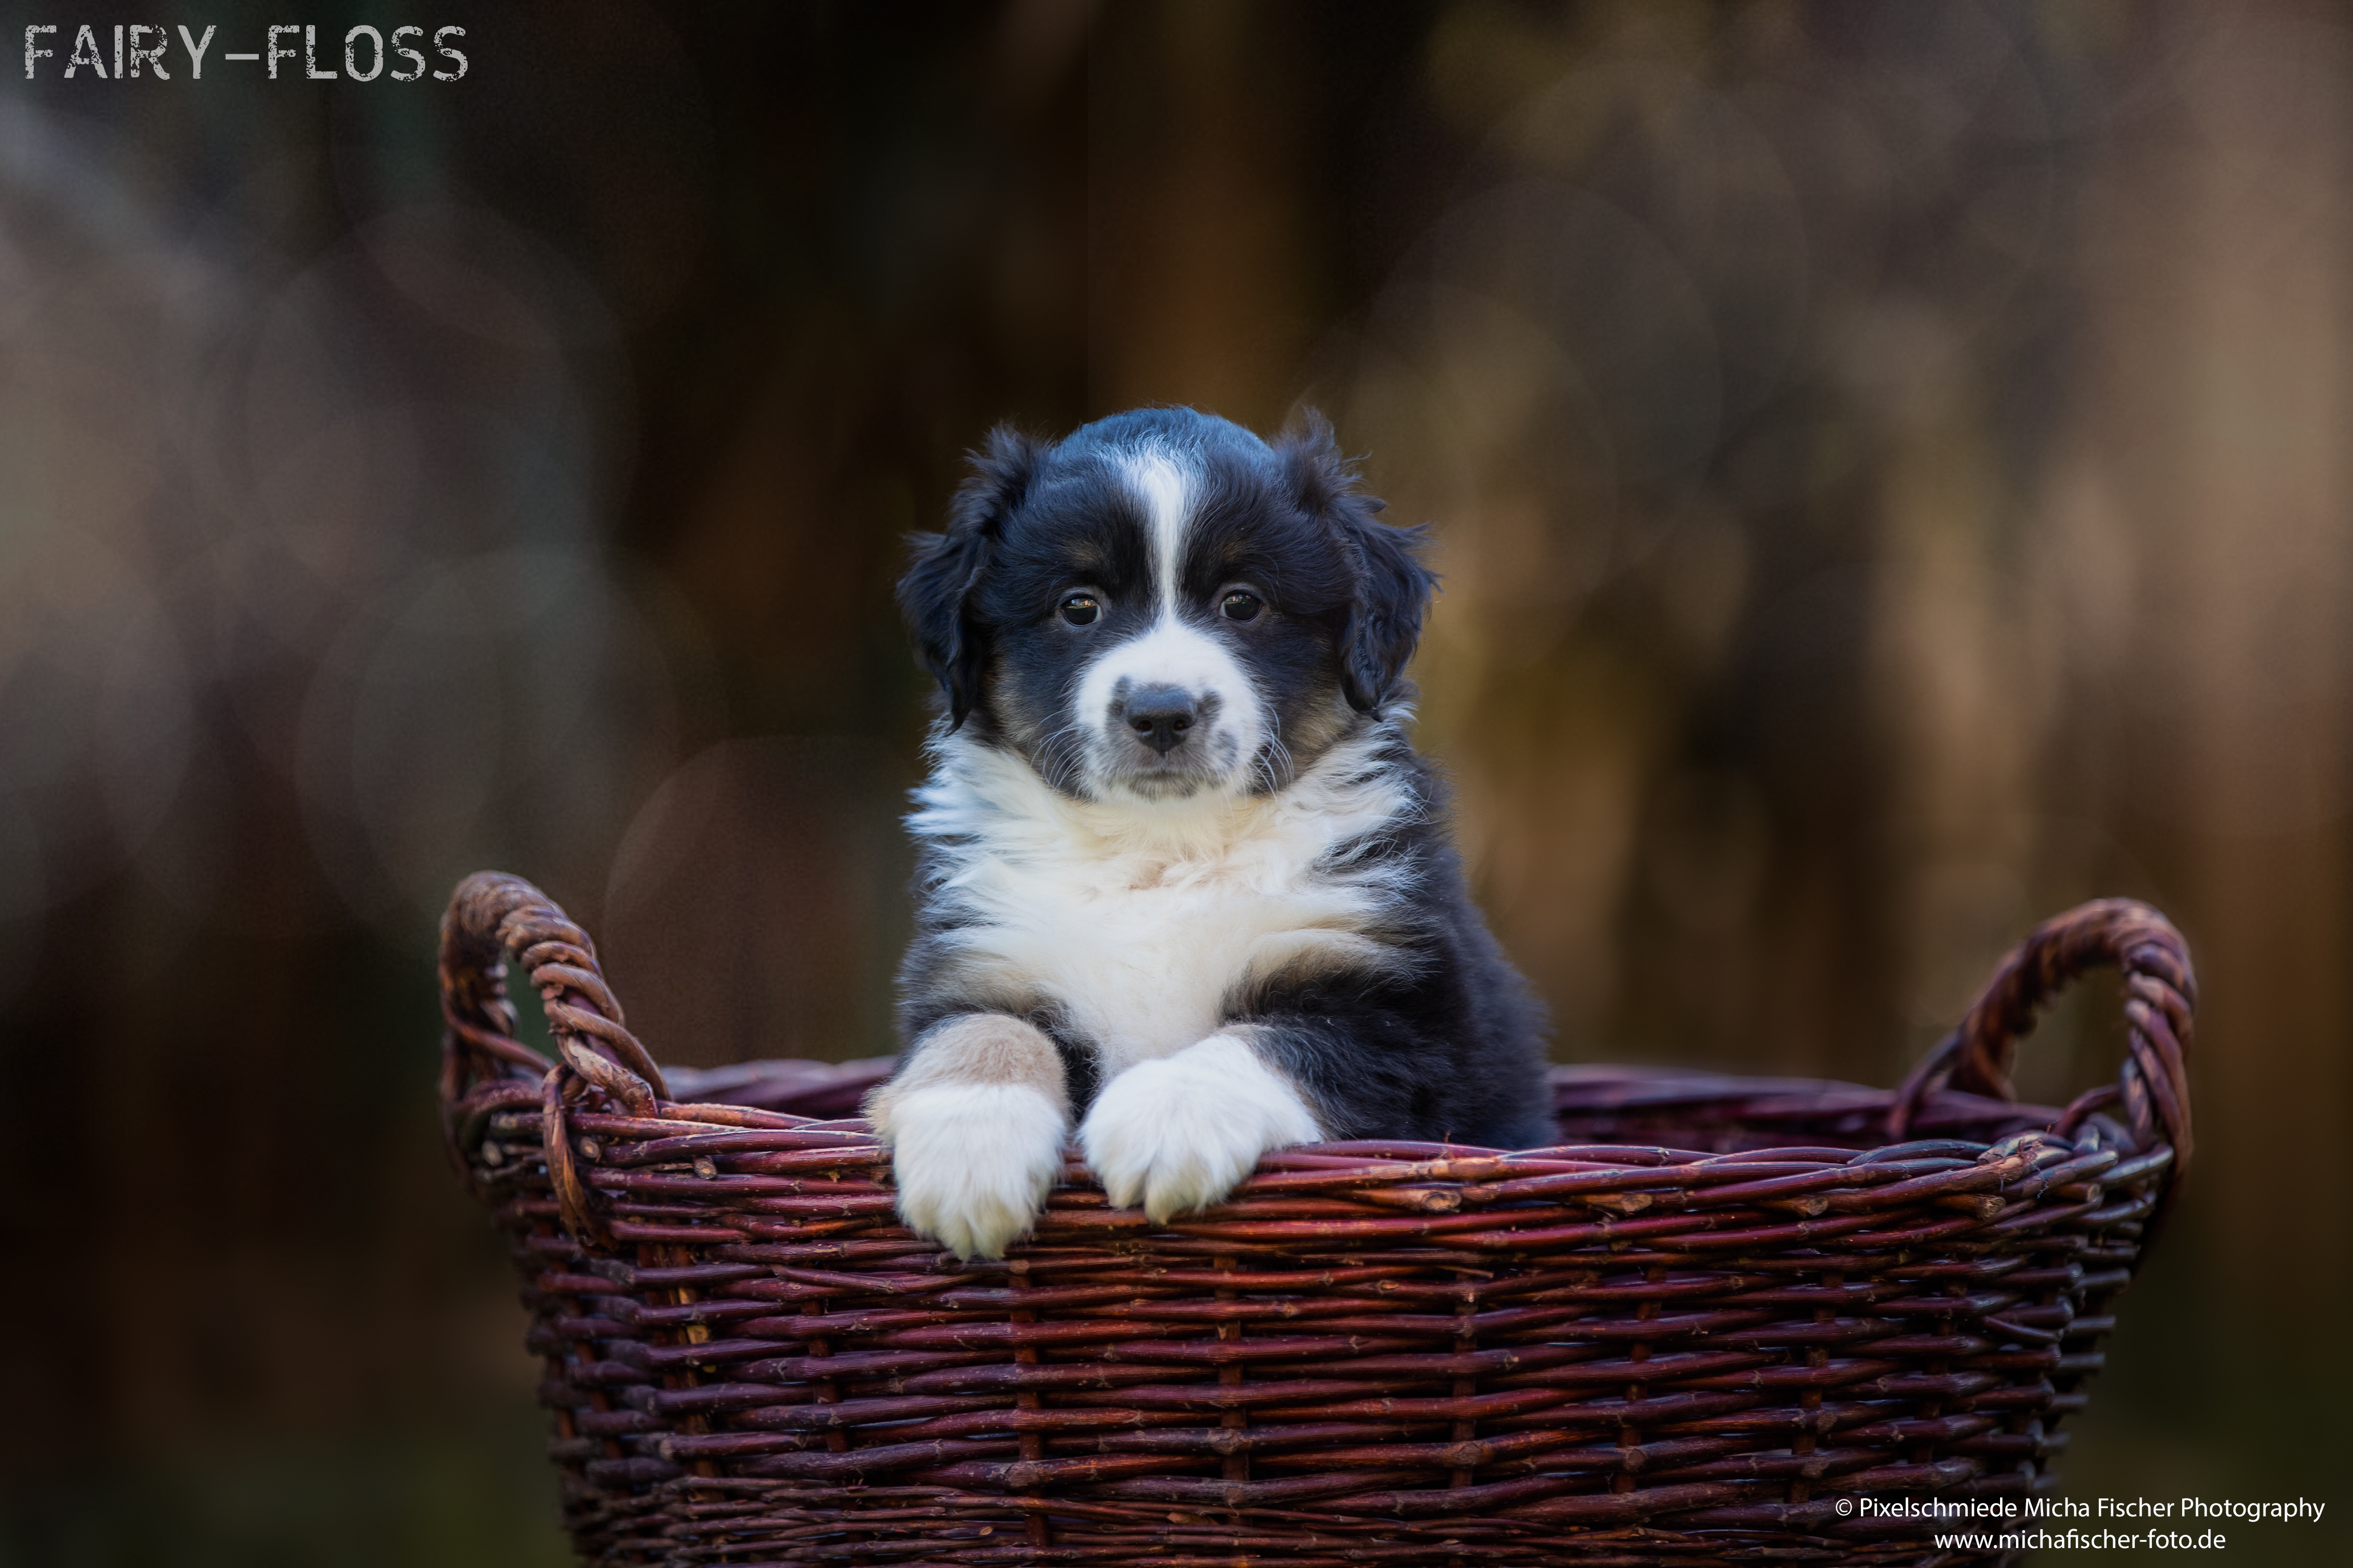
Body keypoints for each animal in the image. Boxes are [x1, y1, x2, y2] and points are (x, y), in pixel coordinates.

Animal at [865, 409, 1543, 1260]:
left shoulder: (1408, 1020)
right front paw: (970, 1145)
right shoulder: (984, 965)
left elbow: (1268, 1041)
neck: (1163, 850)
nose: (1161, 712)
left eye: (1242, 602)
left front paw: (1168, 1116)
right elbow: (980, 1032)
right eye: (1079, 605)